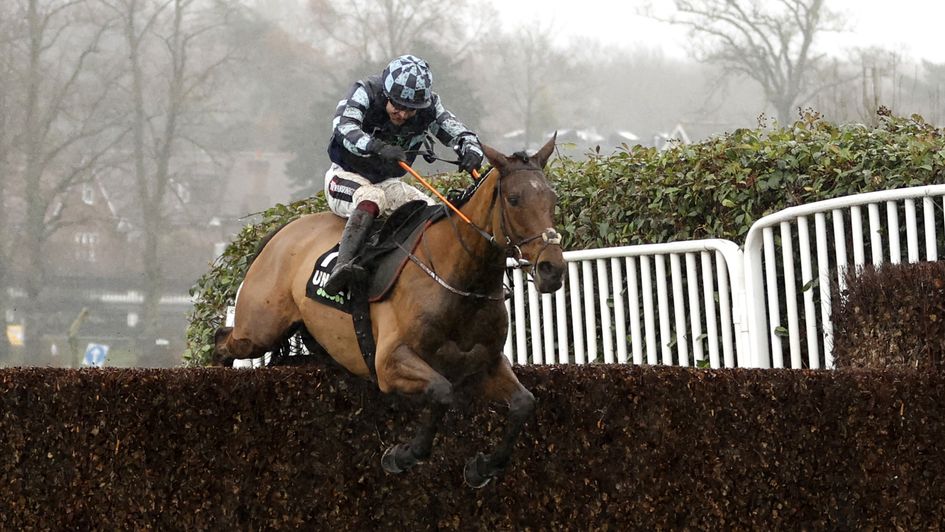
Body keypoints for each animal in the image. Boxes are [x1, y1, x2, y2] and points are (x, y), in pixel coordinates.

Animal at [213, 135, 565, 487]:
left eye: (553, 198)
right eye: (514, 199)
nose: (552, 269)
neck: (459, 282)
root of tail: (281, 233)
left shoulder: (485, 364)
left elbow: (524, 403)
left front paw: (483, 466)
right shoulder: (390, 362)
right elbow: (442, 391)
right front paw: (403, 455)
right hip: (259, 328)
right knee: (222, 340)